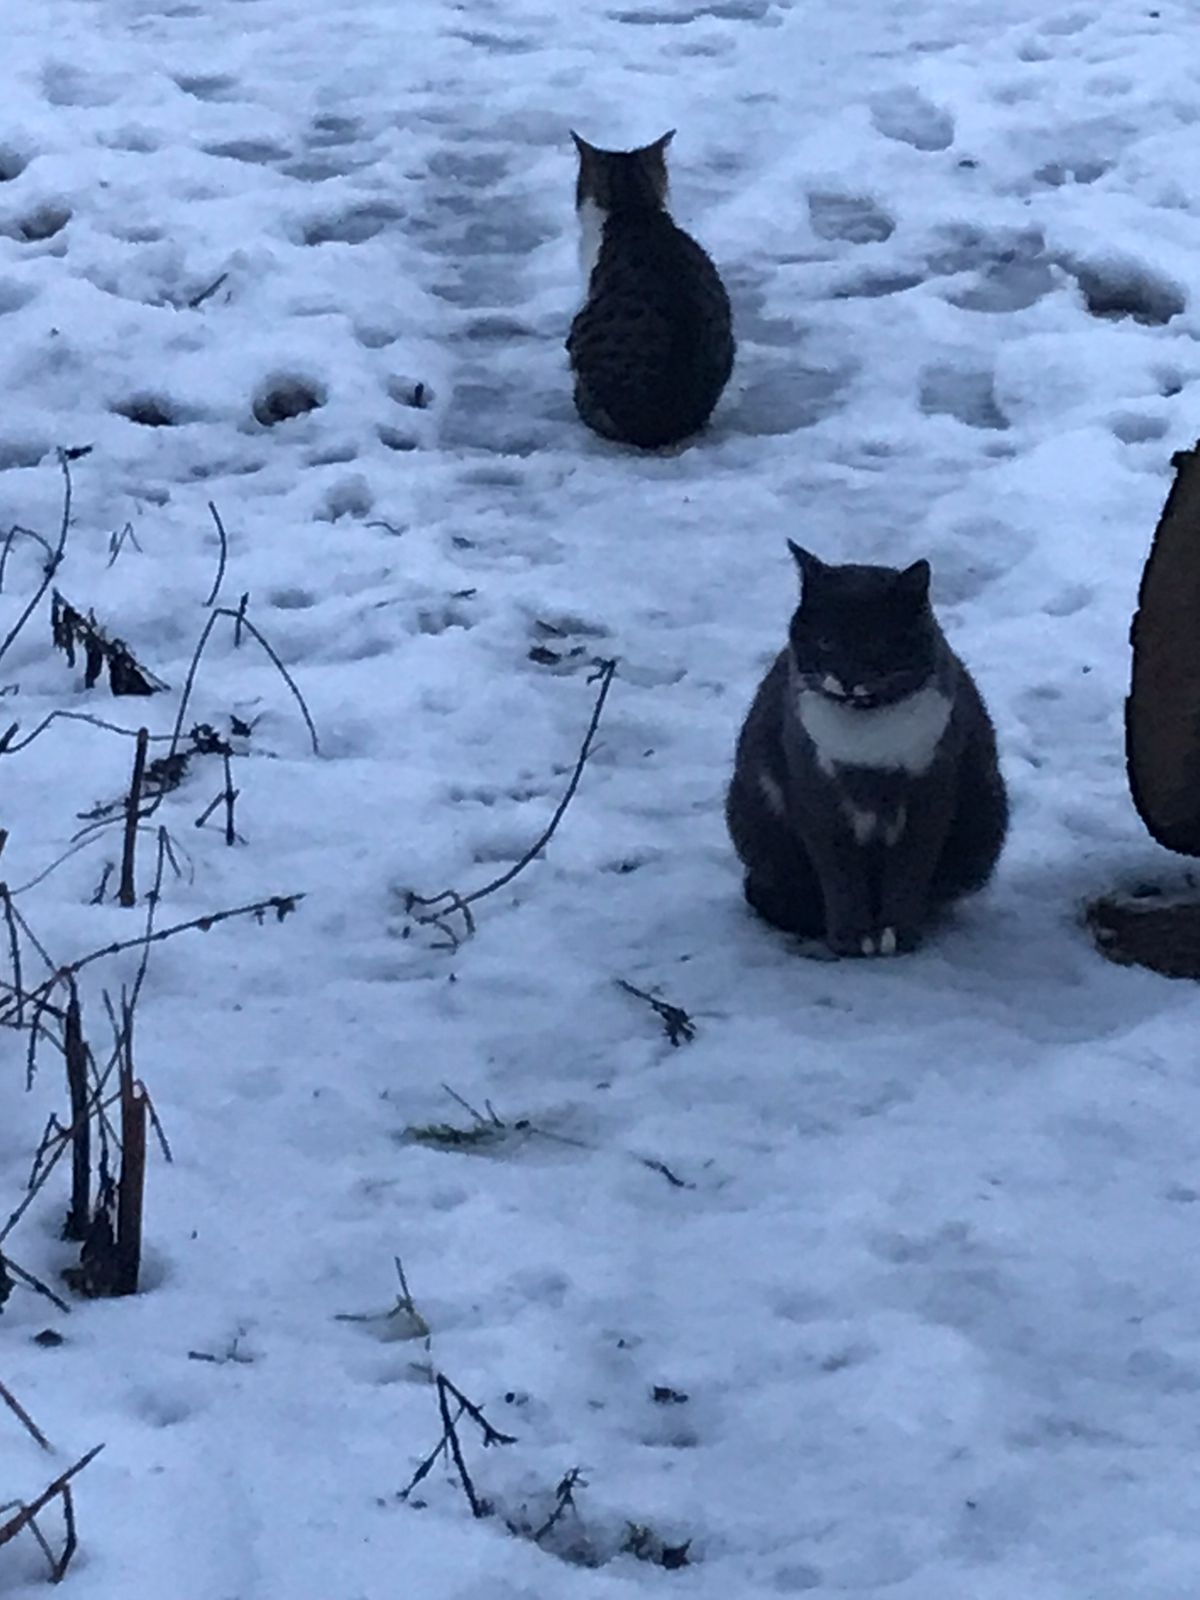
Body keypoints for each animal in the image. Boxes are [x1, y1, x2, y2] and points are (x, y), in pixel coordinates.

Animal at [729, 544, 1011, 953]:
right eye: (826, 641)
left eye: (878, 643)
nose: (847, 679)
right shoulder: (813, 792)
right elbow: (839, 873)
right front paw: (851, 939)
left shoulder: (932, 789)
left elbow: (910, 868)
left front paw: (897, 935)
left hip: (985, 815)